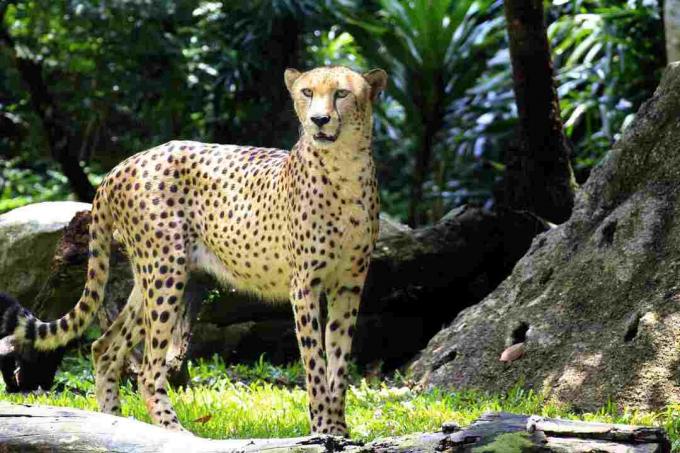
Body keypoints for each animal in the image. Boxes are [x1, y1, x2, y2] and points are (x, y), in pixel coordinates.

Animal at [0, 65, 388, 436]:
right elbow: (316, 365)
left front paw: (339, 429)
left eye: (341, 93)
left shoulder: (349, 285)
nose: (319, 120)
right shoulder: (304, 286)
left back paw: (115, 423)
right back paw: (175, 431)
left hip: (151, 277)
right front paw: (323, 429)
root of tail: (123, 164)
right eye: (307, 92)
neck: (343, 167)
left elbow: (338, 363)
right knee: (149, 369)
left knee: (104, 347)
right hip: (166, 272)